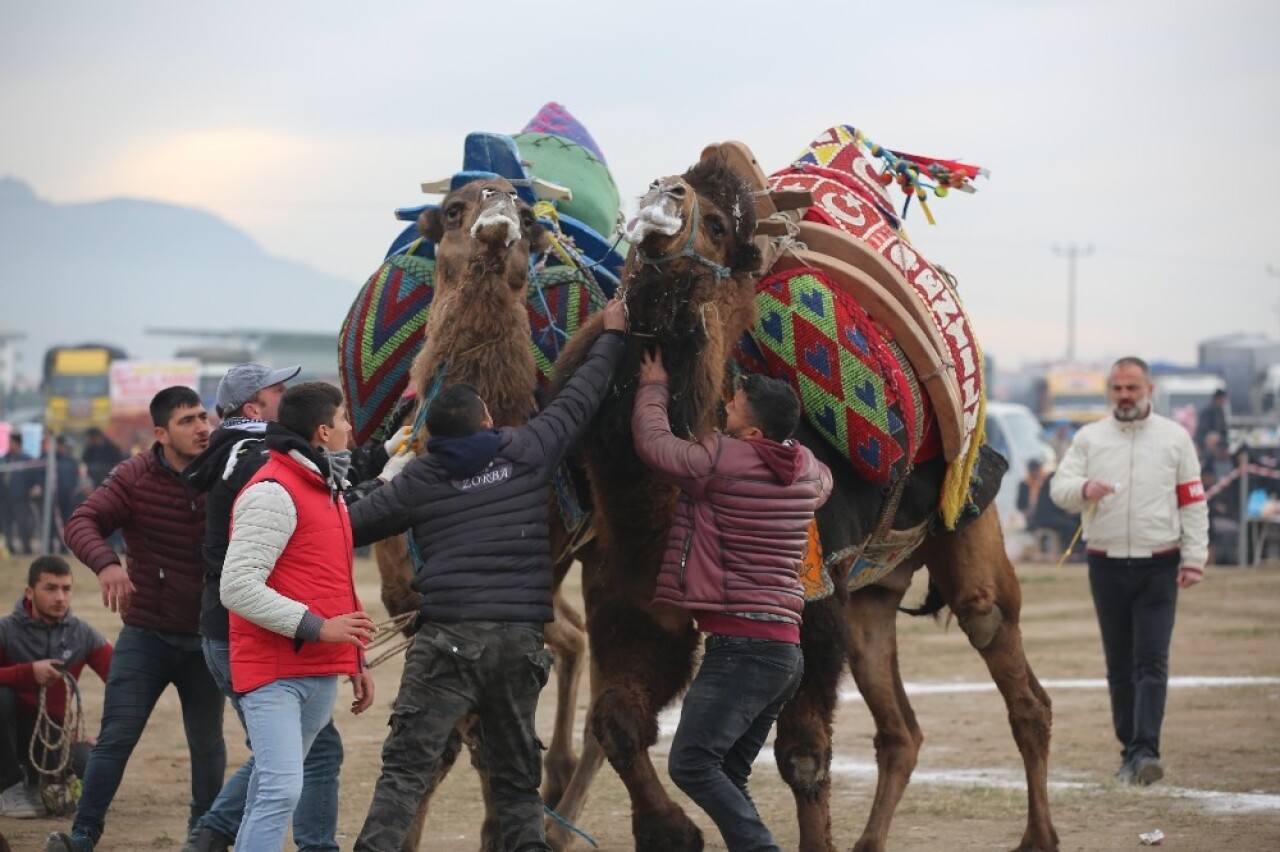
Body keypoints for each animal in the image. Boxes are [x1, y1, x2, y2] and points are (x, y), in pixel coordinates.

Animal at [545, 154, 1054, 849]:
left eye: (720, 223)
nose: (663, 194)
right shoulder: (640, 601)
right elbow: (617, 722)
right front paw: (671, 829)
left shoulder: (808, 601)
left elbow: (803, 756)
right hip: (871, 597)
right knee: (902, 731)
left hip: (966, 527)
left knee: (1015, 675)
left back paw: (1039, 836)